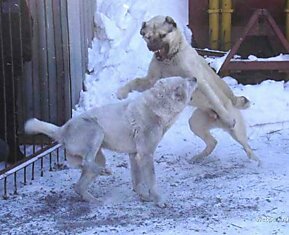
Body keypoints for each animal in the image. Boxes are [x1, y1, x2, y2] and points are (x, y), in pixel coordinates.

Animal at [24, 76, 196, 207]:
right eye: (185, 81)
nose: (194, 77)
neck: (157, 108)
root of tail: (62, 129)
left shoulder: (134, 155)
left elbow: (137, 179)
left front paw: (142, 195)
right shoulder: (146, 155)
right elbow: (152, 181)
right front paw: (159, 200)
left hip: (98, 156)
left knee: (79, 183)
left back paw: (95, 197)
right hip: (96, 131)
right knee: (87, 162)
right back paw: (104, 172)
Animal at [116, 15, 260, 165]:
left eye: (162, 35)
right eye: (148, 37)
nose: (152, 47)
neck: (170, 59)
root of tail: (232, 101)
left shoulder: (200, 82)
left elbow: (214, 101)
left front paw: (228, 118)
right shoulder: (150, 80)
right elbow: (135, 81)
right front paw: (122, 92)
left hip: (236, 133)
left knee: (247, 147)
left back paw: (256, 161)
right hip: (195, 123)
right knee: (213, 142)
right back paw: (198, 157)